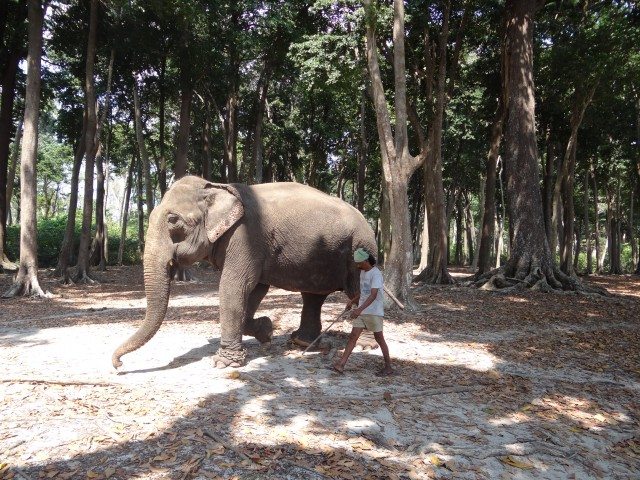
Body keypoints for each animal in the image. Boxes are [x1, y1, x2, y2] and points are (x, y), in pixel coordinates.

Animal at [112, 175, 378, 369]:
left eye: (173, 220)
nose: (118, 364)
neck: (217, 186)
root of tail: (367, 221)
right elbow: (254, 289)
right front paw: (266, 332)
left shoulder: (245, 237)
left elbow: (234, 286)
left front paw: (224, 363)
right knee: (312, 296)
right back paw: (301, 342)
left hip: (360, 249)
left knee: (358, 290)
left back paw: (364, 345)